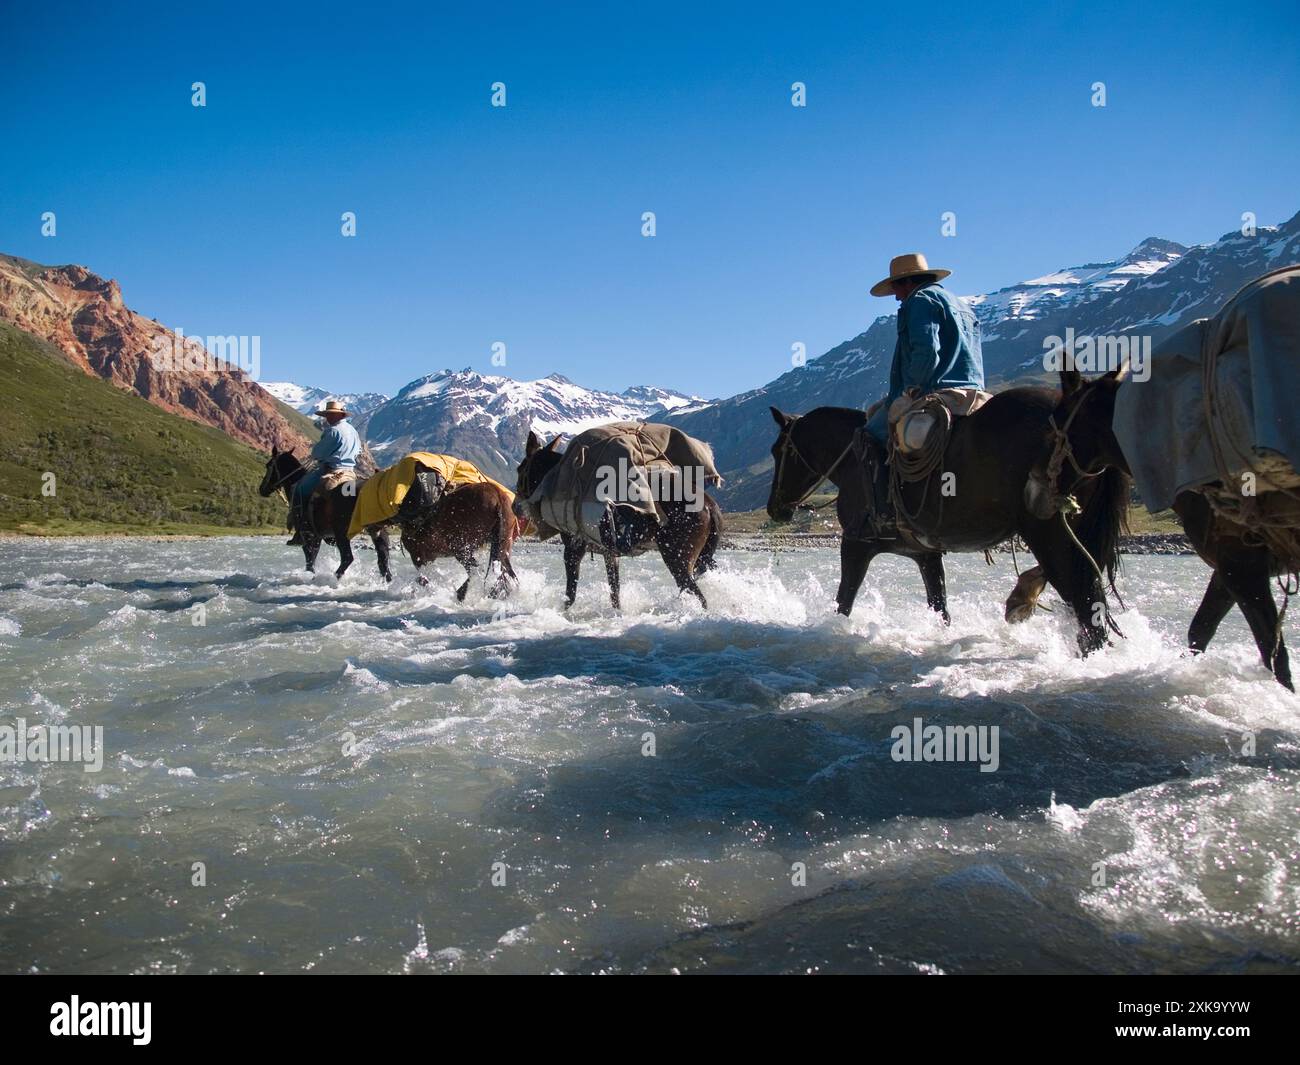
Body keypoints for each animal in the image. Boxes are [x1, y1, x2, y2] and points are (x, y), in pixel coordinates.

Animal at [259, 448, 393, 581]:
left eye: (268, 465)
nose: (262, 489)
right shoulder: (318, 536)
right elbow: (313, 557)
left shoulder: (308, 535)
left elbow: (310, 559)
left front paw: (311, 575)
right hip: (377, 530)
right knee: (383, 558)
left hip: (341, 533)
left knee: (348, 558)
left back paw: (333, 577)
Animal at [514, 431, 722, 609]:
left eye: (520, 469)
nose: (515, 506)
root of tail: (711, 506)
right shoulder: (610, 553)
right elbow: (615, 593)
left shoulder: (573, 549)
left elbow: (570, 594)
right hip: (700, 558)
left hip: (677, 558)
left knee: (700, 598)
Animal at [767, 383, 1131, 654]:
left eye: (776, 451)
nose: (775, 508)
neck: (853, 462)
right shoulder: (924, 554)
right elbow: (940, 607)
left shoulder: (856, 543)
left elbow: (844, 602)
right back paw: (1022, 600)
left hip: (1050, 535)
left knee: (1087, 610)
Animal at [1025, 367, 1295, 689]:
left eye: (1050, 431)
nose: (1030, 492)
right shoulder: (1229, 570)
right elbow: (1200, 630)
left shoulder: (1244, 571)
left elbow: (1274, 656)